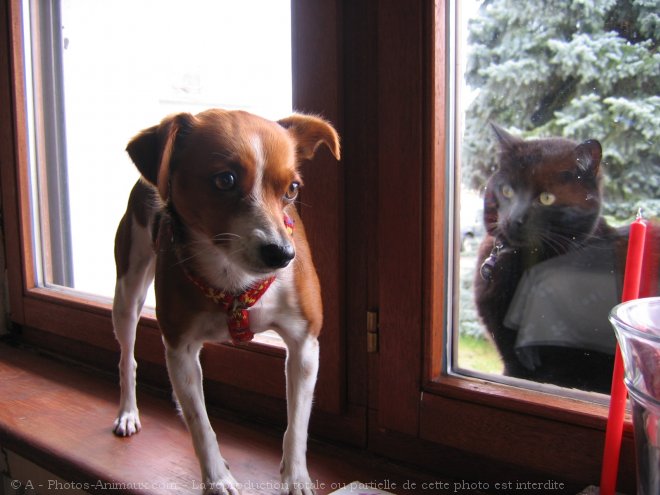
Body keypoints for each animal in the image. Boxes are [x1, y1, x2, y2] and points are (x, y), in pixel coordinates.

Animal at [110, 109, 340, 495]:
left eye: (292, 189)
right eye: (225, 180)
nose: (282, 254)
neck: (235, 277)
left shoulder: (304, 344)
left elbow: (297, 425)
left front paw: (295, 478)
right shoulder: (180, 346)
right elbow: (201, 427)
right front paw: (217, 479)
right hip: (127, 293)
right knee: (128, 357)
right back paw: (128, 412)